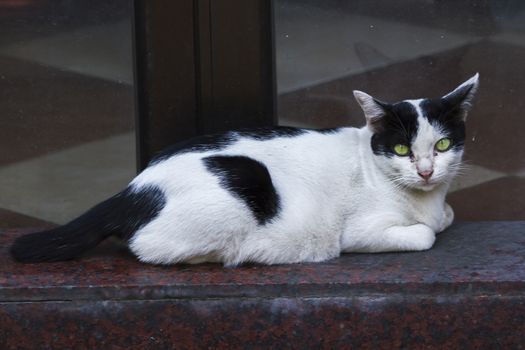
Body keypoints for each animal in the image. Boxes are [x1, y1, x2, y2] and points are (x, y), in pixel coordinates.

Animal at [11, 73, 478, 266]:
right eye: (401, 148)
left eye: (441, 145)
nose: (425, 171)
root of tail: (133, 188)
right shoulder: (360, 231)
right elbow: (425, 234)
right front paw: (429, 225)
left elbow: (446, 216)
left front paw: (444, 212)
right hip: (241, 187)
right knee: (148, 247)